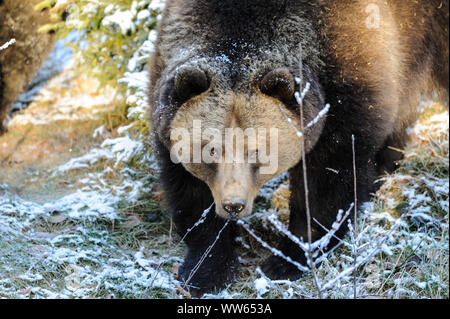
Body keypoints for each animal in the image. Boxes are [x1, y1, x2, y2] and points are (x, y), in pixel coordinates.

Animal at [148, 0, 446, 296]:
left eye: (257, 150)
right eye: (210, 149)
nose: (234, 205)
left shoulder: (348, 77)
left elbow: (327, 181)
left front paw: (288, 260)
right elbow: (191, 192)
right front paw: (204, 270)